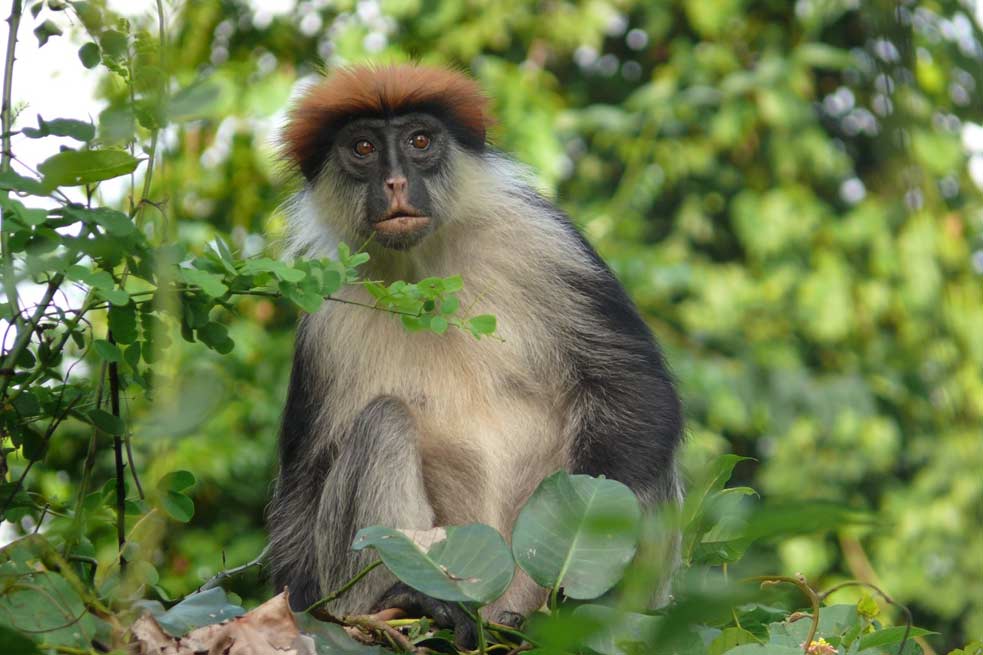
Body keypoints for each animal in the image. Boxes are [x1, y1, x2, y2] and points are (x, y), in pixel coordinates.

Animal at [266, 62, 688, 644]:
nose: (395, 182)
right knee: (383, 422)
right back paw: (413, 603)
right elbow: (302, 494)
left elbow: (634, 388)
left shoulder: (545, 241)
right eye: (364, 148)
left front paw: (585, 593)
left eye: (420, 141)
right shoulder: (325, 320)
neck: (425, 274)